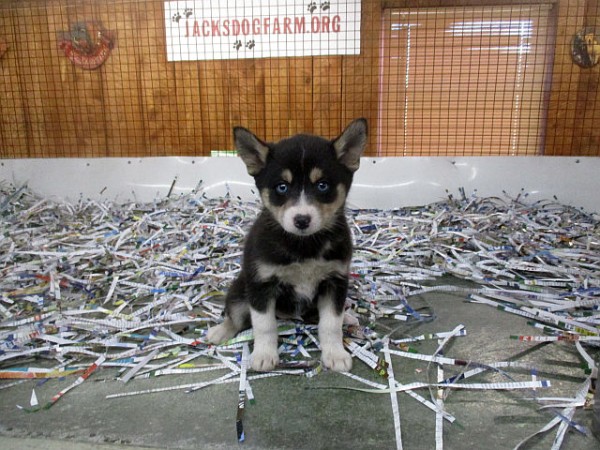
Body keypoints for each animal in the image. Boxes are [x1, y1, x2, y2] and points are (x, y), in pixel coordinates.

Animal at [205, 117, 366, 372]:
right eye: (282, 187)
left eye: (322, 185)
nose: (302, 220)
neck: (304, 246)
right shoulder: (261, 285)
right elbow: (264, 325)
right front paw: (264, 355)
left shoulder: (335, 281)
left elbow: (331, 323)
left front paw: (335, 354)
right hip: (240, 290)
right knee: (236, 316)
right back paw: (220, 331)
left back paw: (348, 318)